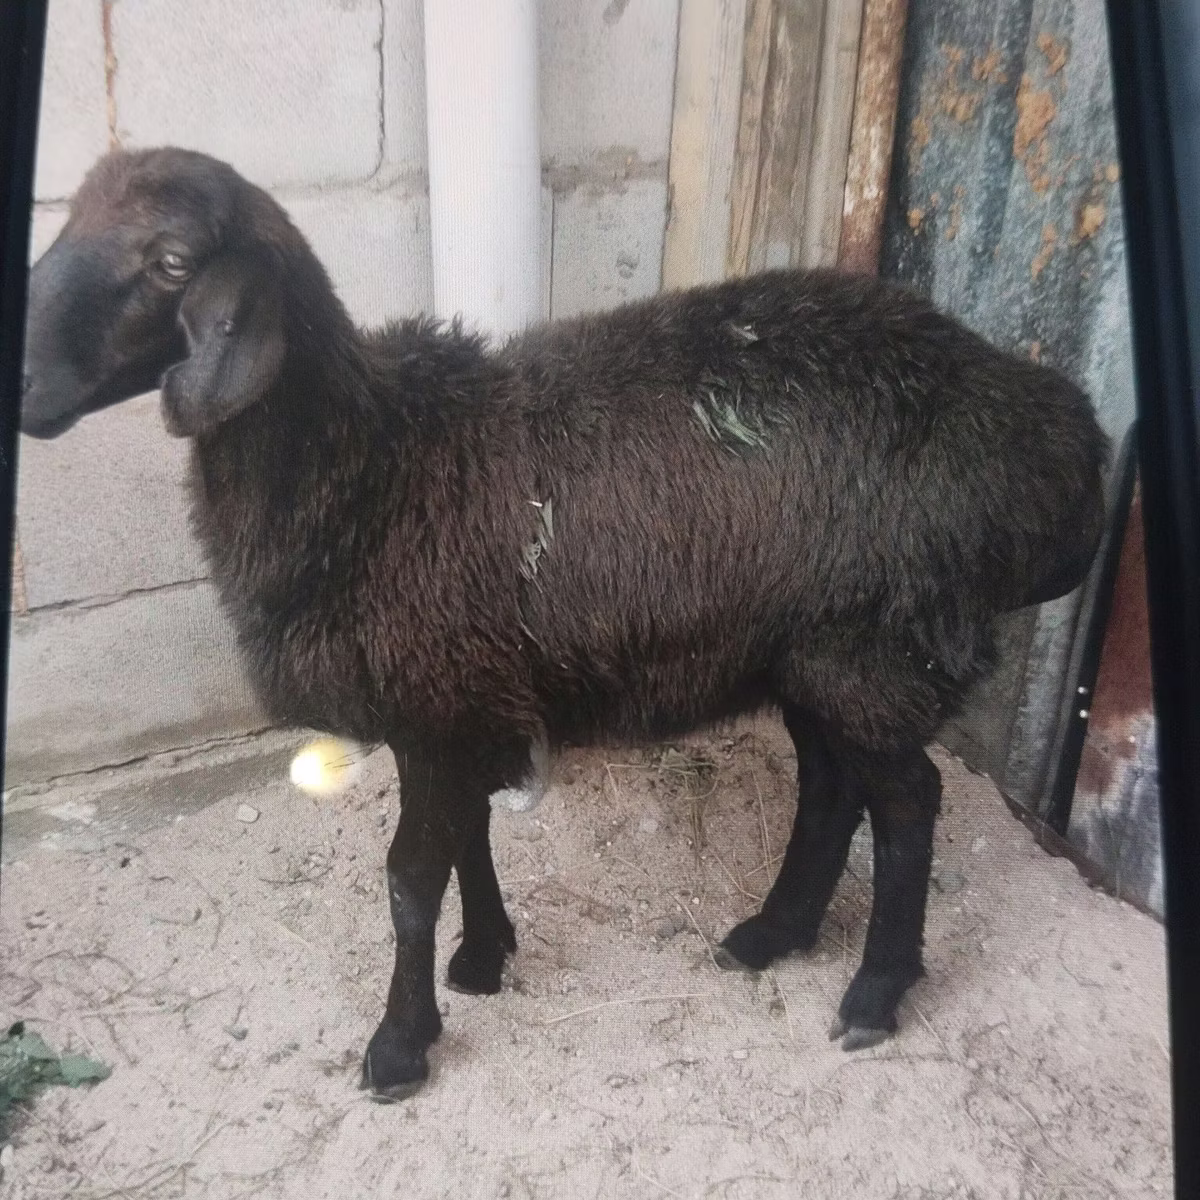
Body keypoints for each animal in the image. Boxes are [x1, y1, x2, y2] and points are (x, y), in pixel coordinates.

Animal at [20, 147, 1110, 1100]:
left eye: (170, 264)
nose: (22, 385)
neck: (370, 462)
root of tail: (1061, 438)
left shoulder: (439, 702)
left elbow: (411, 878)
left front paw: (400, 1045)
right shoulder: (461, 702)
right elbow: (468, 843)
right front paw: (483, 957)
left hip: (879, 648)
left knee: (911, 803)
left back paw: (874, 993)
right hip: (815, 652)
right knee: (833, 787)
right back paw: (773, 933)